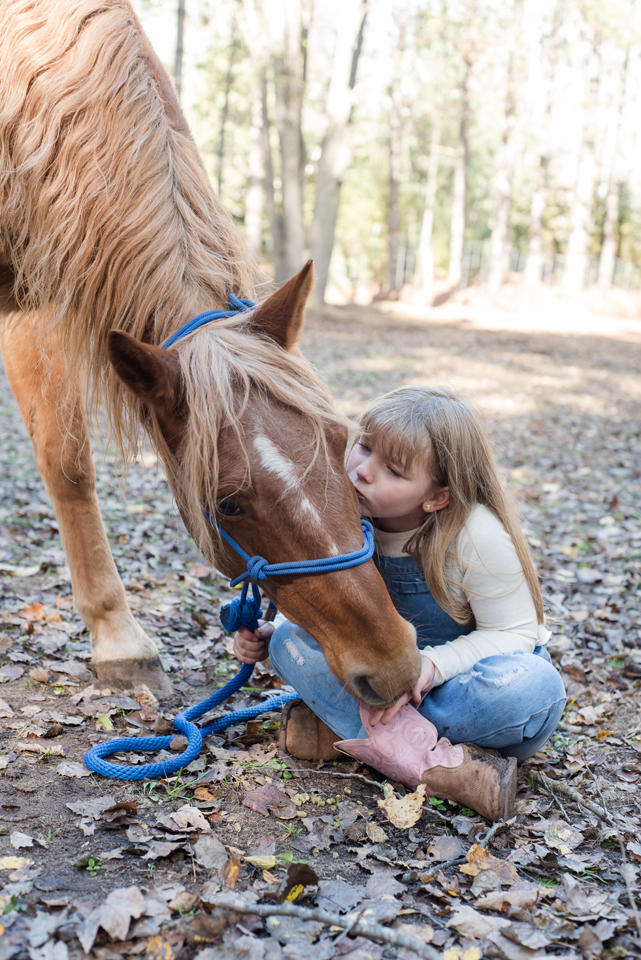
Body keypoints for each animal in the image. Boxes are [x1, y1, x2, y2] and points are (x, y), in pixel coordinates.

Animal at [0, 0, 420, 706]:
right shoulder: (33, 309)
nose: (393, 664)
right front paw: (119, 639)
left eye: (342, 447)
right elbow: (69, 465)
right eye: (229, 505)